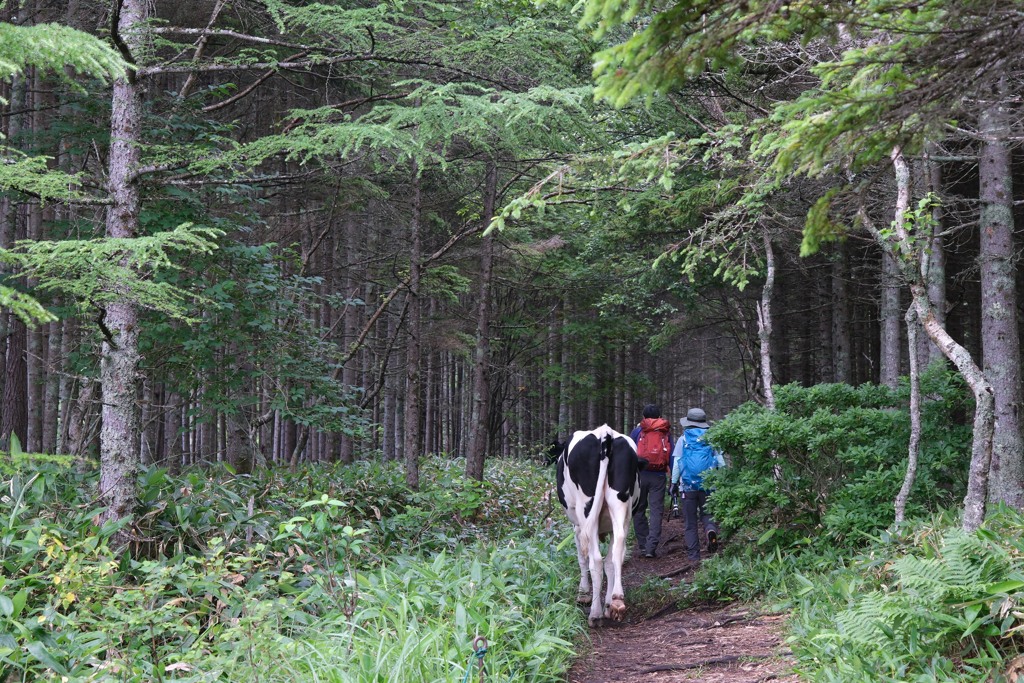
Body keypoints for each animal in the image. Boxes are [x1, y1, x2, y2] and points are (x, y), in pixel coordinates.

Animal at [561, 423, 638, 626]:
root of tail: (605, 433)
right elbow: (610, 562)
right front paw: (608, 604)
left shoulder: (577, 527)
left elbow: (582, 558)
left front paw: (583, 594)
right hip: (620, 504)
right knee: (617, 551)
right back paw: (616, 601)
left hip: (587, 510)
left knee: (595, 560)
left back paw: (595, 614)